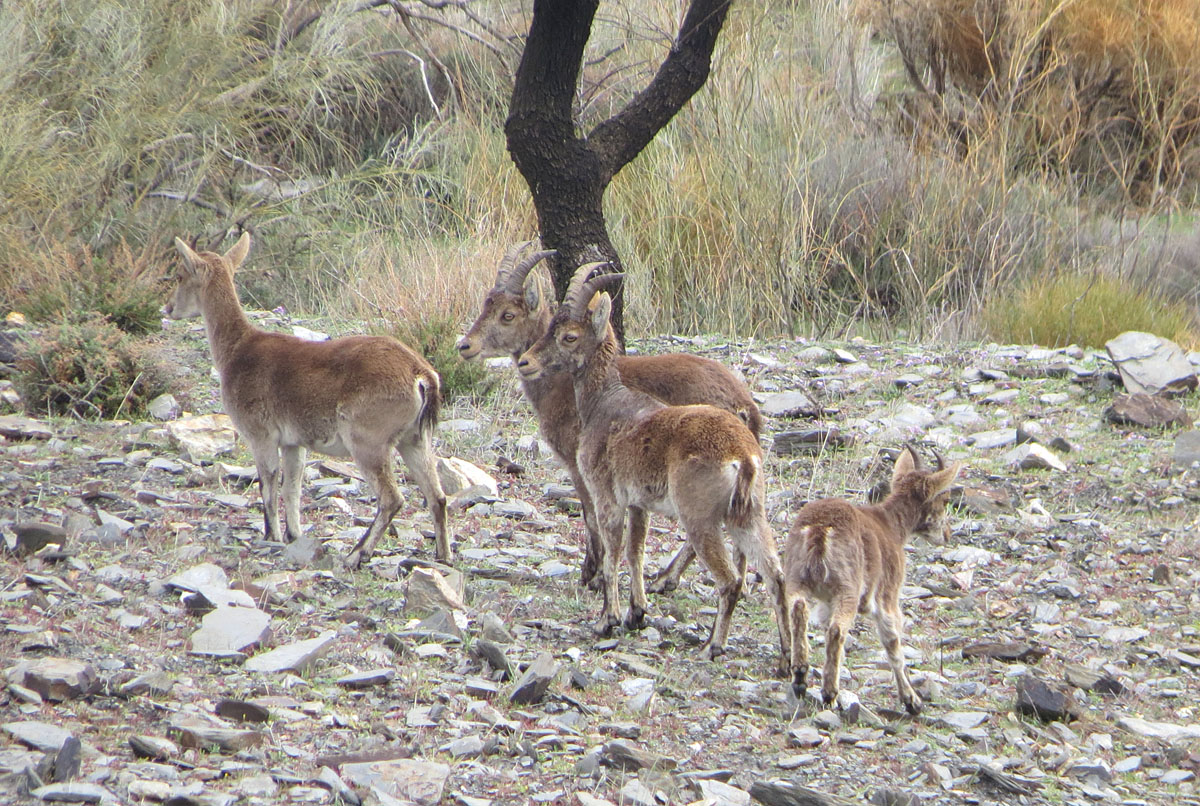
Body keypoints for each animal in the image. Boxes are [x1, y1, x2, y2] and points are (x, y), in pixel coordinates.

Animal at [166, 234, 448, 568]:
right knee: (437, 496)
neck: (236, 351)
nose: (168, 308)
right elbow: (293, 487)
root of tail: (421, 375)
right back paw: (443, 555)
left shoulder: (260, 434)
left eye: (180, 275)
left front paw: (272, 535)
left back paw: (356, 554)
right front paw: (294, 535)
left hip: (368, 440)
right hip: (415, 439)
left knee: (392, 498)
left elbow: (268, 483)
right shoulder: (293, 442)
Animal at [457, 242, 761, 593]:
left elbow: (591, 514)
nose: (465, 346)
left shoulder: (581, 465)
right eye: (486, 305)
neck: (563, 387)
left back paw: (665, 578)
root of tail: (745, 405)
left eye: (508, 315)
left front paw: (592, 573)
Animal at [515, 264, 792, 673]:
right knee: (775, 576)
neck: (604, 403)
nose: (527, 362)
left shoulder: (608, 496)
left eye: (569, 336)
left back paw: (713, 646)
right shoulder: (638, 504)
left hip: (700, 517)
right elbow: (636, 551)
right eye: (550, 327)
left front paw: (607, 620)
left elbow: (612, 554)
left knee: (730, 580)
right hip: (749, 514)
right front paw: (636, 614)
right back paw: (792, 663)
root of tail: (743, 455)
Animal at [785, 446, 961, 714]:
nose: (947, 534)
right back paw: (829, 692)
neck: (891, 526)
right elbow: (893, 644)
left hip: (797, 578)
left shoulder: (825, 602)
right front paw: (911, 700)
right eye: (946, 499)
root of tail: (819, 530)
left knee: (798, 611)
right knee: (837, 630)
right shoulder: (888, 596)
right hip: (847, 587)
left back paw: (800, 676)